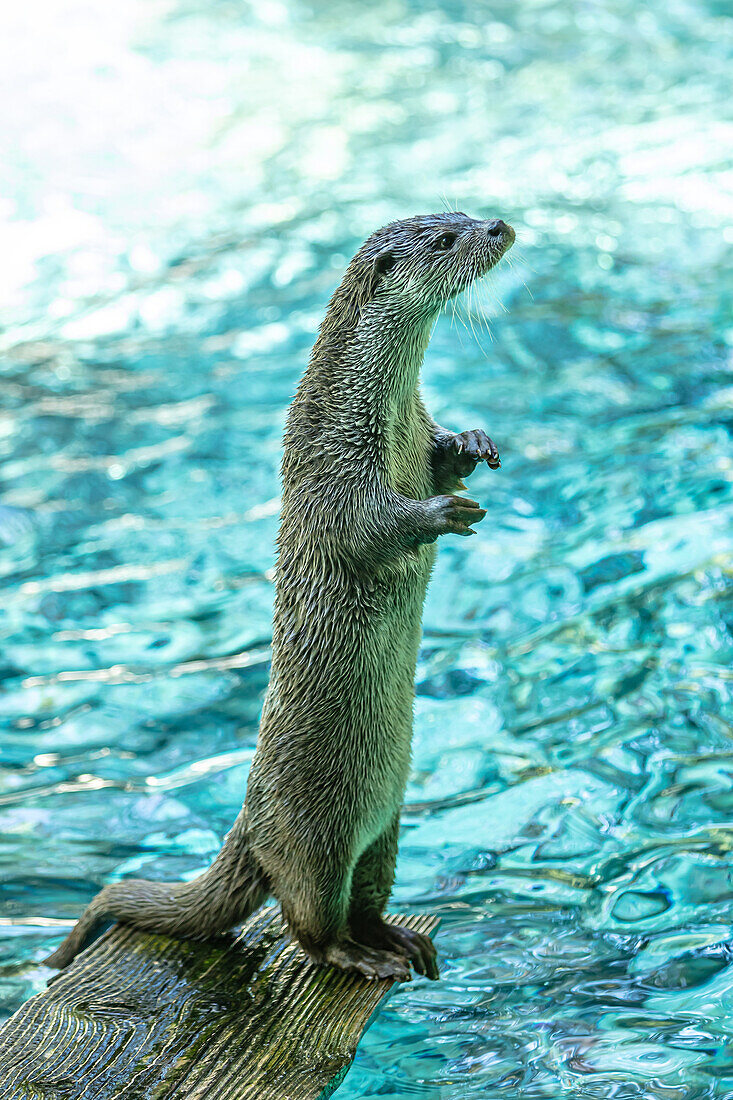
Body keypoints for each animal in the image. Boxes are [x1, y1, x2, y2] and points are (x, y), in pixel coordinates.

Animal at [45, 212, 512, 981]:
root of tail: (249, 815)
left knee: (367, 895)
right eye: (446, 239)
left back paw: (397, 939)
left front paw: (472, 441)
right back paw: (357, 956)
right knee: (306, 920)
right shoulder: (332, 473)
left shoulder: (415, 431)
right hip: (311, 838)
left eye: (466, 215)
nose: (499, 225)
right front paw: (441, 513)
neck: (377, 412)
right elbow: (369, 530)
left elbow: (443, 456)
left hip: (387, 828)